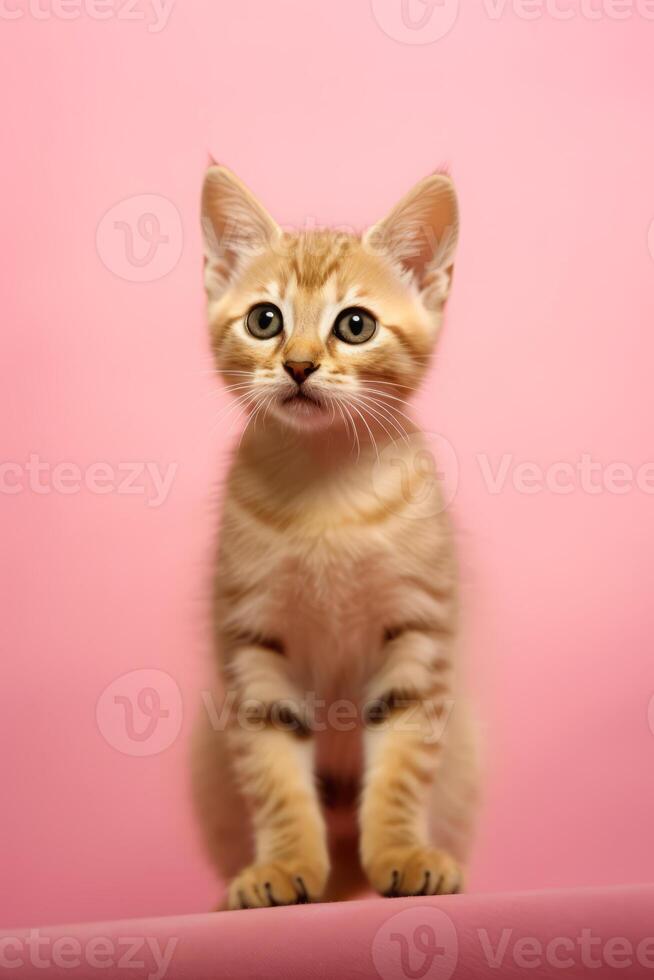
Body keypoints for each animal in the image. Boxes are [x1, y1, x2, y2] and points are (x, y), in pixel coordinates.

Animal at [192, 165, 480, 908]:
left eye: (355, 325)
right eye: (265, 319)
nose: (298, 365)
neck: (326, 492)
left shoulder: (416, 634)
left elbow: (404, 761)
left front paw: (402, 851)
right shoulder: (252, 644)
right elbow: (272, 771)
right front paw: (284, 864)